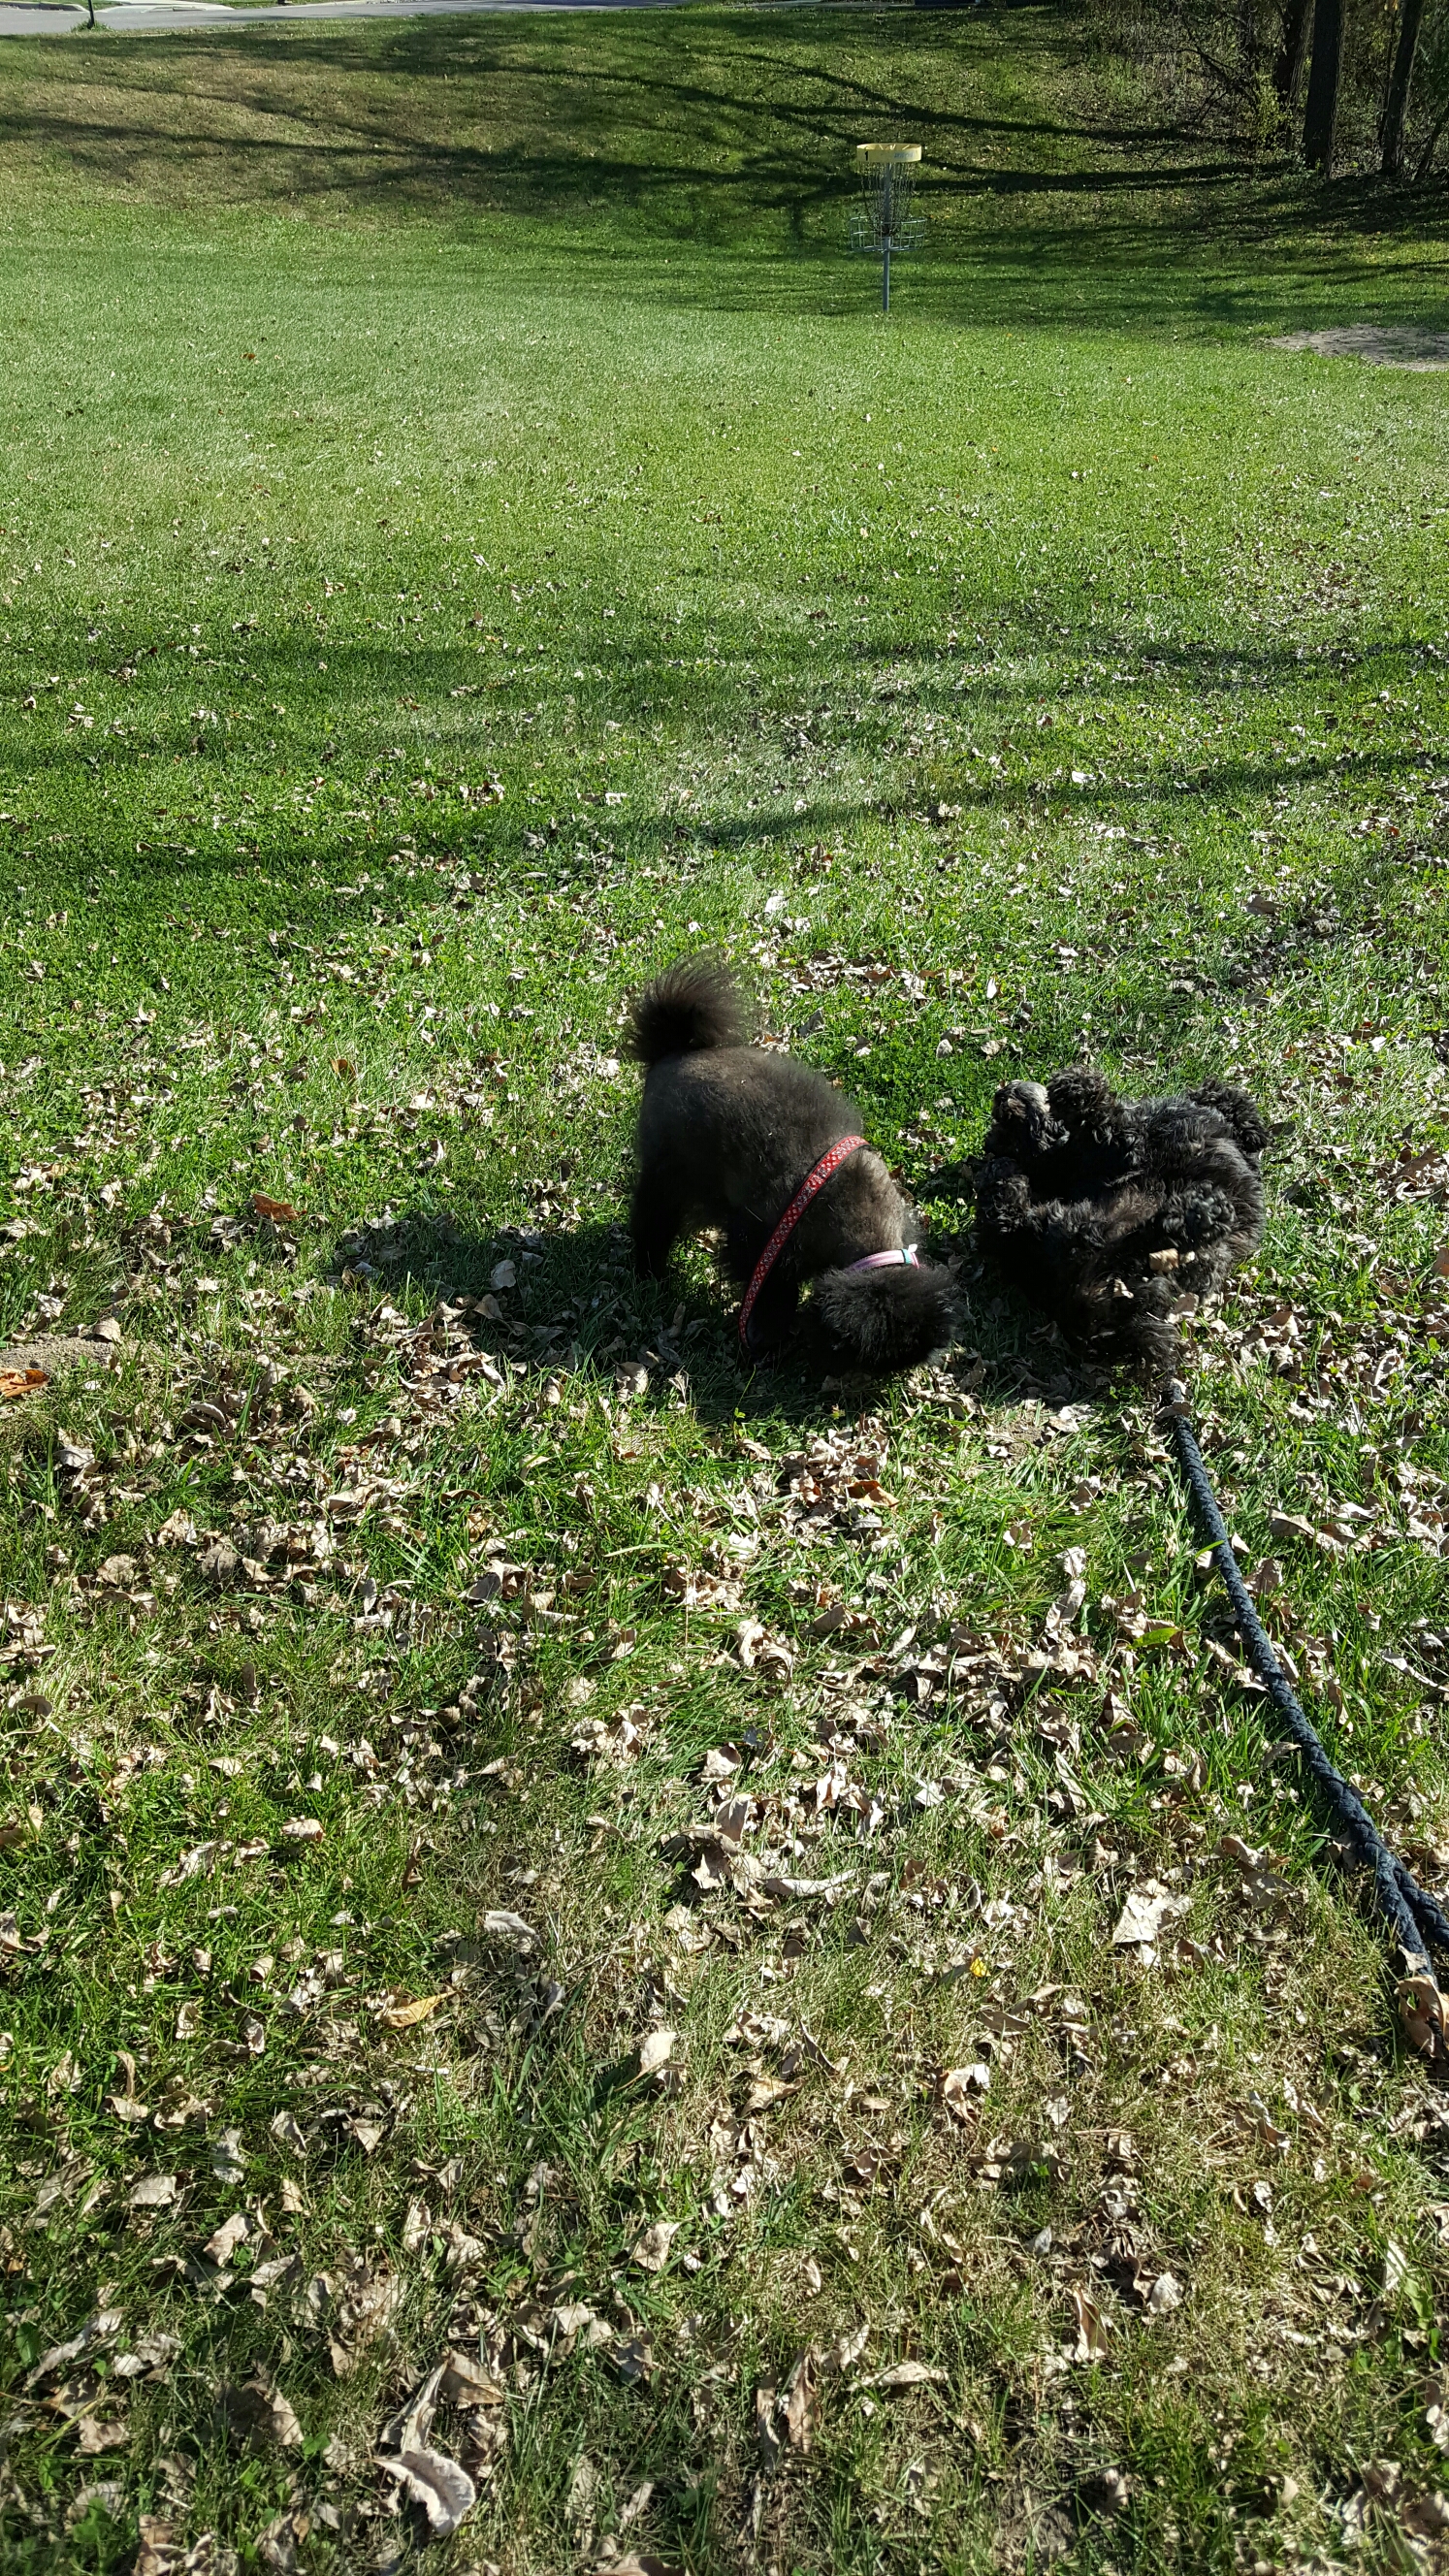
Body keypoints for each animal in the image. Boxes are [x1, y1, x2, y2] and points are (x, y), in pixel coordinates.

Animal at [628, 957, 954, 1370]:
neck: (855, 1211)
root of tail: (670, 1052)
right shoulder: (759, 1242)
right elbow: (772, 1294)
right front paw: (770, 1332)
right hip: (666, 1181)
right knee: (651, 1224)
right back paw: (649, 1272)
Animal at [973, 1066, 1269, 1370]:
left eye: (1003, 1127)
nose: (1000, 1095)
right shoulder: (1125, 1144)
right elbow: (1103, 1121)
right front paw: (1078, 1085)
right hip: (1103, 1236)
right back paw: (1201, 1212)